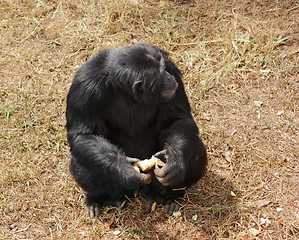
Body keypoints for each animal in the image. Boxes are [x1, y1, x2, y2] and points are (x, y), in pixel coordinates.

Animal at [65, 41, 207, 218]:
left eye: (164, 68)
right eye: (160, 75)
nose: (168, 76)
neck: (123, 88)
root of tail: (142, 190)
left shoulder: (171, 67)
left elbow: (176, 120)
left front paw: (174, 161)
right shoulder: (84, 85)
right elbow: (83, 134)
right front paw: (125, 169)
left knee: (196, 149)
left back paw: (170, 197)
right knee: (81, 160)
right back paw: (98, 199)